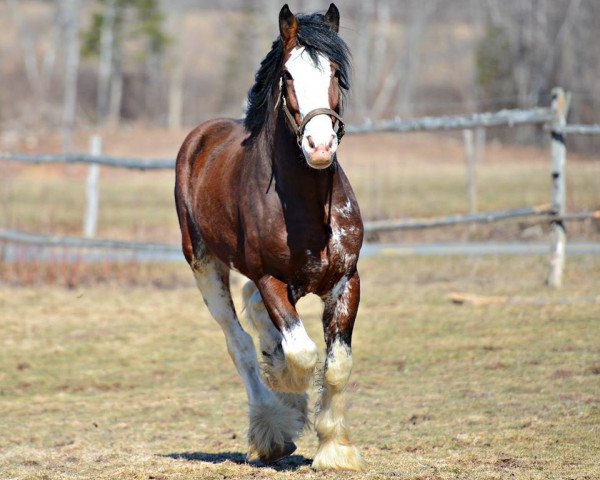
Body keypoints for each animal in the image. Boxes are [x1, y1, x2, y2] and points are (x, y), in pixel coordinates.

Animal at [172, 2, 360, 468]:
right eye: (288, 75)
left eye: (334, 71)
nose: (320, 147)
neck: (308, 206)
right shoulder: (270, 279)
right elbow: (302, 355)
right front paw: (287, 396)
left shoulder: (347, 281)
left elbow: (337, 365)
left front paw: (335, 449)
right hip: (204, 266)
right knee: (238, 342)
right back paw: (272, 430)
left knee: (255, 316)